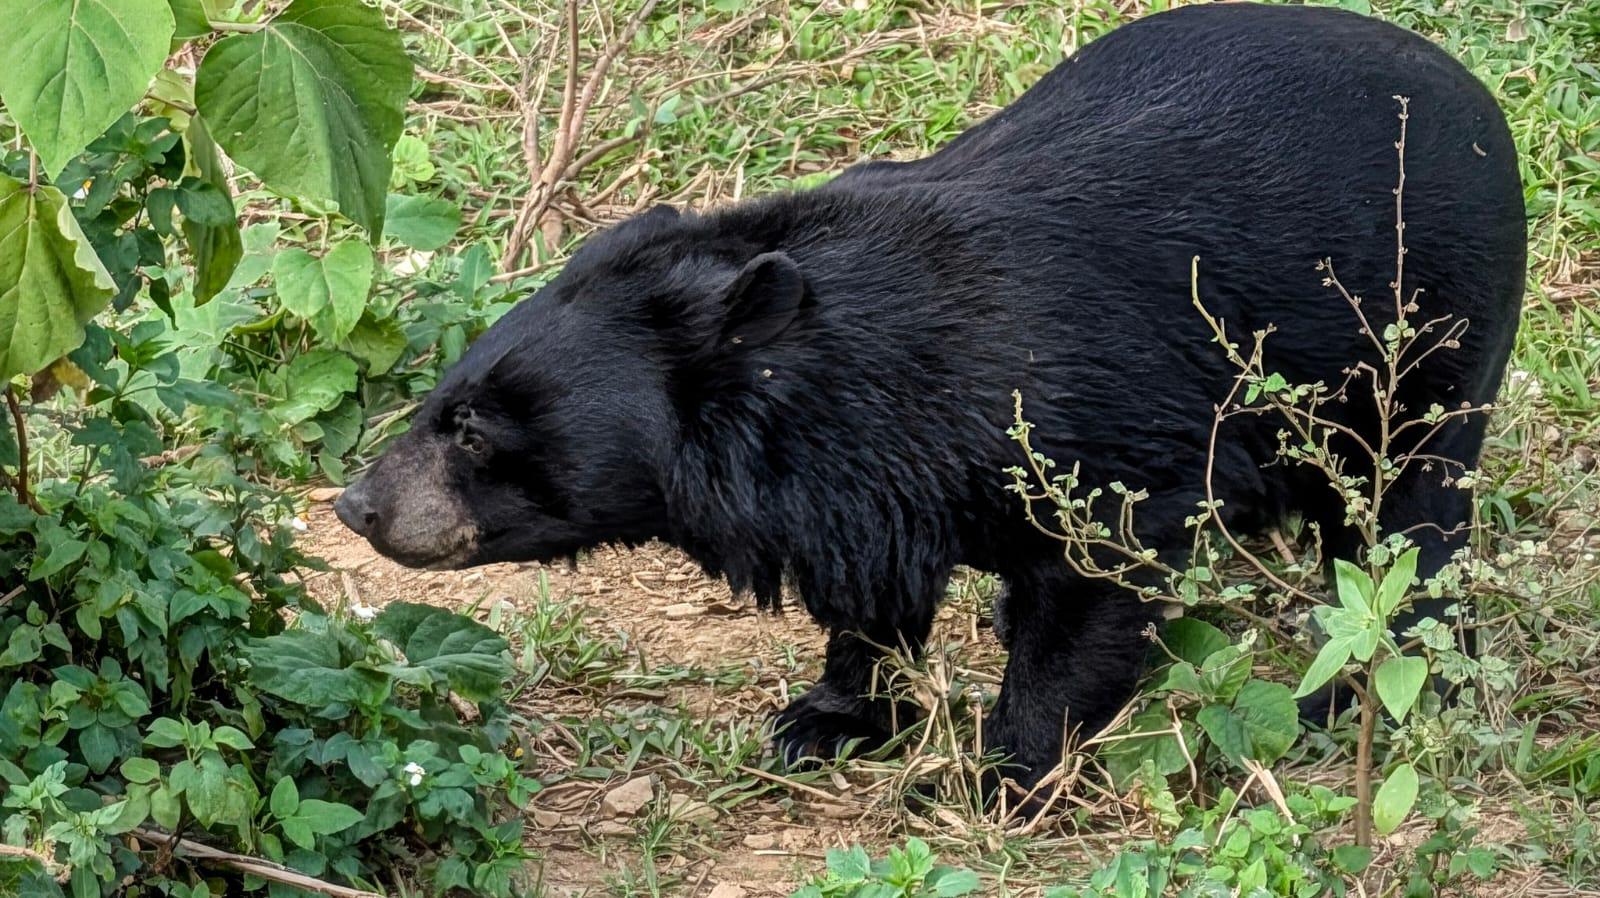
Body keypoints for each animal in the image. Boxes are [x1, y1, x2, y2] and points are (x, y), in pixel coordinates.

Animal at [336, 2, 1525, 792]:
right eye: (440, 401)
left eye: (472, 429)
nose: (358, 506)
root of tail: (1476, 96)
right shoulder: (853, 481)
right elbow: (868, 592)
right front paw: (824, 720)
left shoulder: (1090, 434)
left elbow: (1087, 595)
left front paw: (998, 772)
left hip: (1428, 337)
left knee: (1408, 524)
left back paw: (1356, 699)